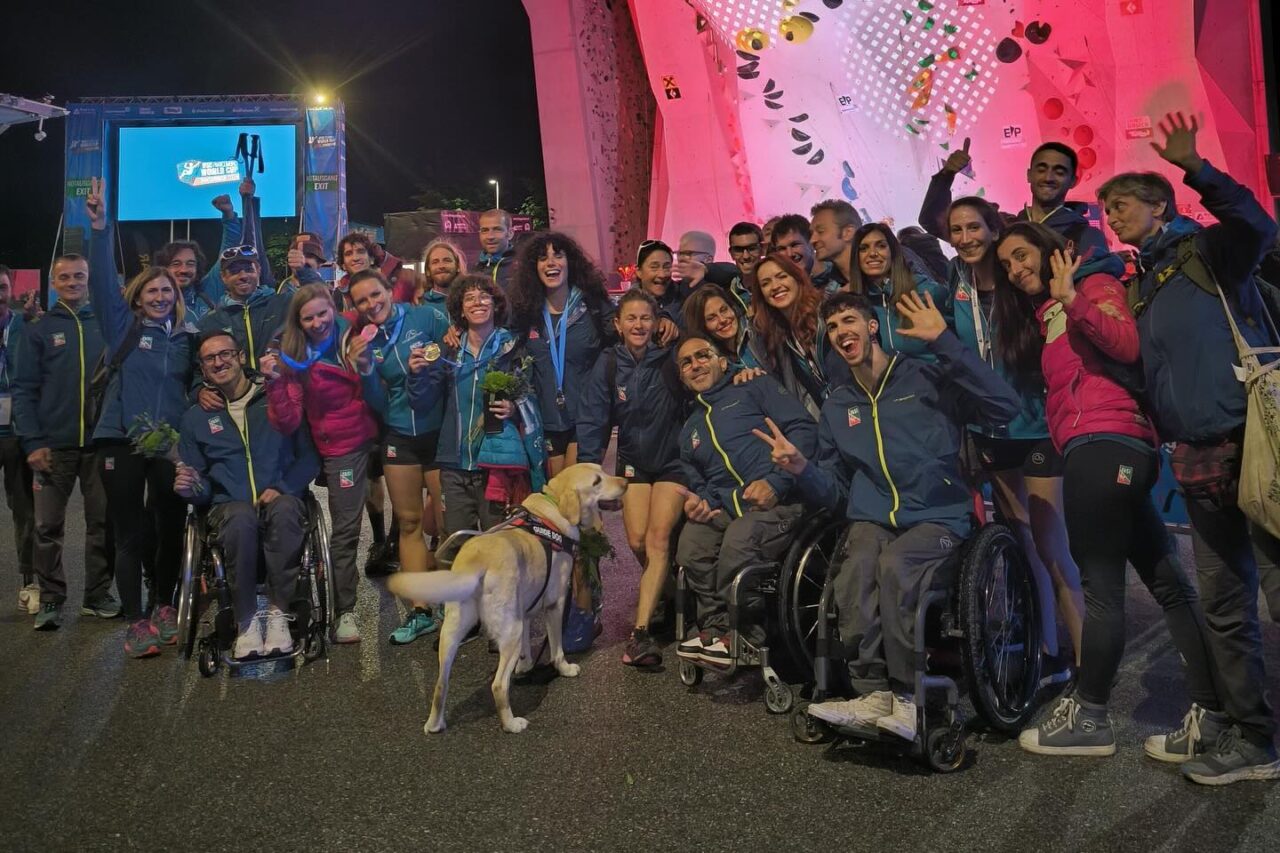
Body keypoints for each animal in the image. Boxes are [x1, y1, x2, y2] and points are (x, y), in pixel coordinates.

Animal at [391, 461, 627, 727]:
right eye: (597, 481)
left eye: (602, 470)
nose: (625, 482)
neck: (553, 506)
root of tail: (477, 562)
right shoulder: (554, 604)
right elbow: (556, 648)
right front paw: (564, 668)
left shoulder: (524, 610)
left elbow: (526, 646)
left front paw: (525, 666)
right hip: (509, 630)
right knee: (498, 685)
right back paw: (512, 724)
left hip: (452, 632)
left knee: (441, 684)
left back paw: (434, 725)